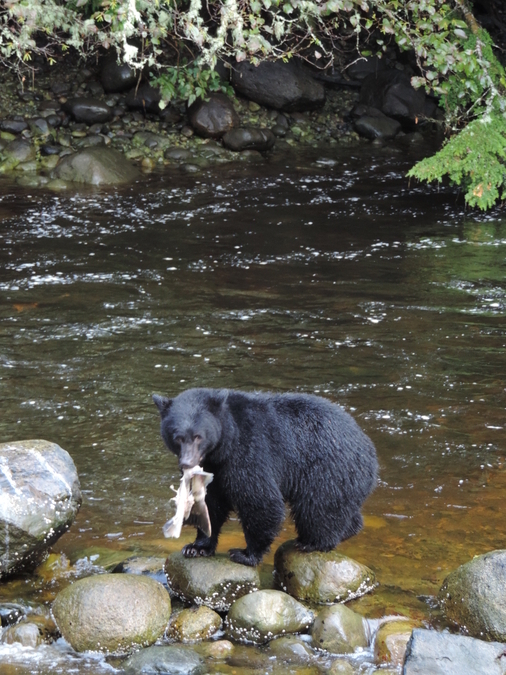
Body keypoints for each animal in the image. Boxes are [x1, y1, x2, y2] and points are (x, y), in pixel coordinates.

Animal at [152, 388, 378, 568]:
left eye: (198, 436)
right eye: (177, 437)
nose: (187, 463)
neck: (224, 446)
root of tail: (370, 451)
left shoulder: (249, 451)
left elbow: (259, 500)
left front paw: (246, 554)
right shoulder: (213, 470)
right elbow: (210, 504)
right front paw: (196, 547)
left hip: (328, 470)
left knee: (318, 507)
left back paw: (312, 542)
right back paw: (349, 530)